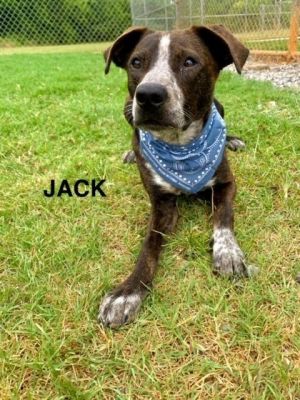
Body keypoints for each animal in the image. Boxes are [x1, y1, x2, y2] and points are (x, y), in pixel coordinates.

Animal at [99, 24, 251, 328]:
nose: (148, 95)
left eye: (189, 62)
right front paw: (127, 292)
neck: (181, 149)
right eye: (136, 62)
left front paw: (227, 252)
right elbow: (148, 246)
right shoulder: (161, 205)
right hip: (127, 108)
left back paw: (232, 139)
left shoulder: (226, 184)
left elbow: (224, 217)